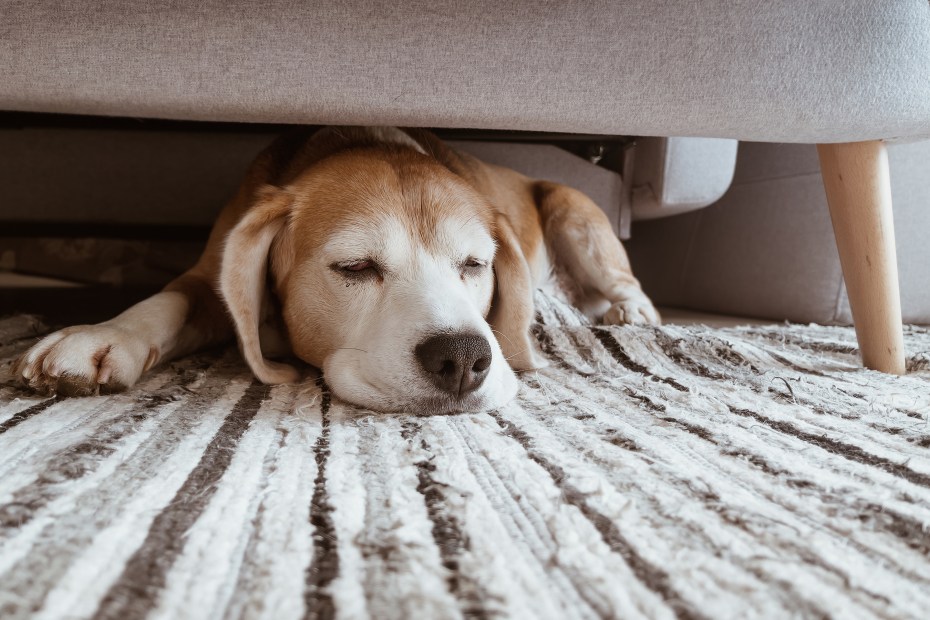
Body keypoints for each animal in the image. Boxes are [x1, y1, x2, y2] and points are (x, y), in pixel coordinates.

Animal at [10, 127, 656, 412]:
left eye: (475, 265)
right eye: (356, 266)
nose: (465, 358)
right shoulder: (208, 280)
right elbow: (165, 301)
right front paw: (101, 335)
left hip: (576, 210)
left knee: (625, 284)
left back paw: (632, 314)